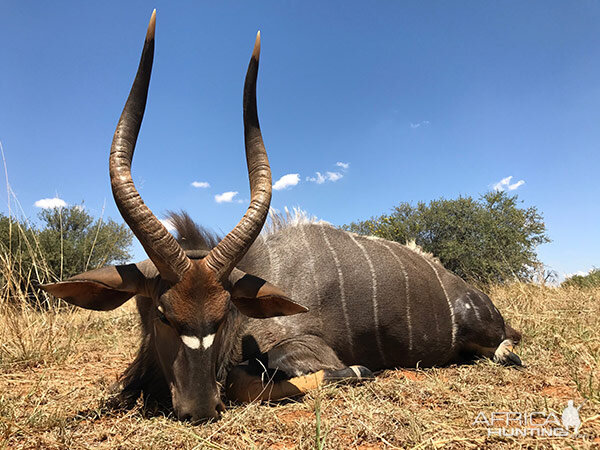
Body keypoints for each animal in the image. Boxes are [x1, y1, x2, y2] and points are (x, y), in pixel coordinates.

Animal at [41, 12, 520, 424]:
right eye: (162, 314)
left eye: (225, 315)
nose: (199, 408)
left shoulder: (307, 347)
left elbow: (250, 380)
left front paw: (361, 371)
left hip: (487, 333)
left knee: (507, 348)